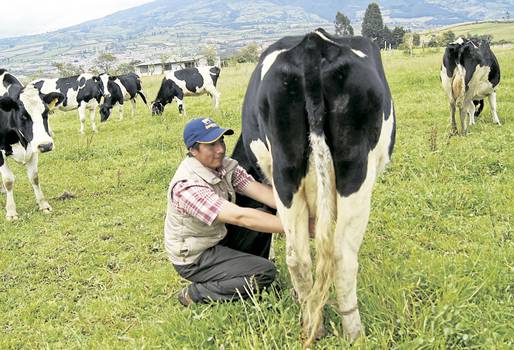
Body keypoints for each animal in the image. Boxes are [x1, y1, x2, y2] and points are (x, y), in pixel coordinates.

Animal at [0, 70, 64, 220]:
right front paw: (11, 212)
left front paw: (43, 205)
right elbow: (8, 180)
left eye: (45, 113)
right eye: (23, 116)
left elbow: (34, 177)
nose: (46, 145)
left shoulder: (33, 148)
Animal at [230, 28, 394, 346]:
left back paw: (312, 324)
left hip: (286, 170)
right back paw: (353, 333)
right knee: (342, 257)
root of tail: (312, 45)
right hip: (356, 170)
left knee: (298, 257)